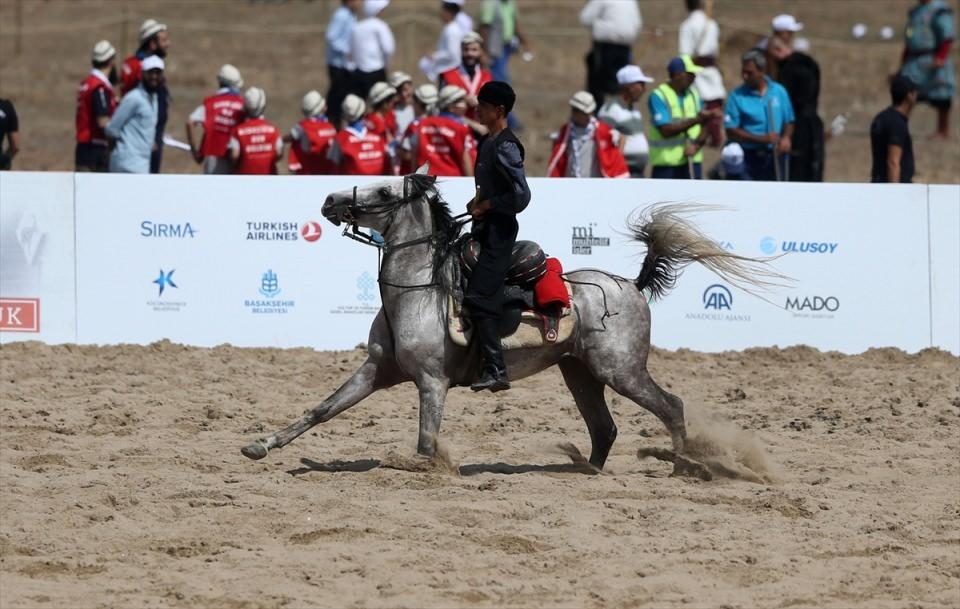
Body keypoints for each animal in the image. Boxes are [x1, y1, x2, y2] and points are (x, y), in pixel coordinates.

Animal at [242, 167, 780, 476]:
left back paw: (682, 467)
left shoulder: (431, 382)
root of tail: (631, 283)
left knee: (671, 406)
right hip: (579, 373)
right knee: (605, 427)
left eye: (382, 190)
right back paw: (589, 472)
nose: (330, 201)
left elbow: (425, 443)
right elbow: (321, 410)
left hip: (620, 371)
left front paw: (426, 469)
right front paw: (263, 445)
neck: (417, 291)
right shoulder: (377, 370)